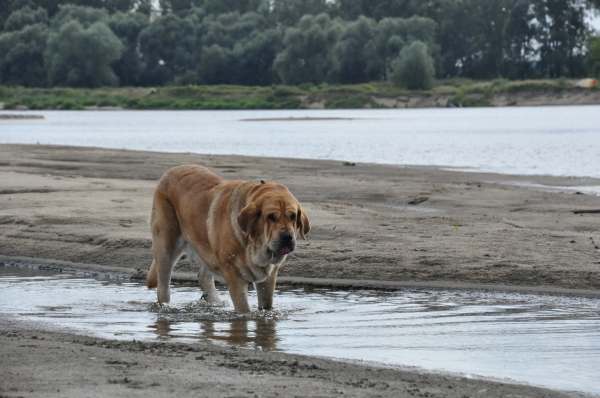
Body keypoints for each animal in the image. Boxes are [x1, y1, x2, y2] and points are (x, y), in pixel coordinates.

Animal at [147, 163, 312, 312]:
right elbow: (244, 310)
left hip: (208, 250)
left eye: (292, 216)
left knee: (203, 276)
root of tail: (171, 171)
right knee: (163, 287)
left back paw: (215, 301)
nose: (287, 237)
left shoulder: (268, 280)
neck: (253, 244)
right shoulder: (234, 277)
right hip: (166, 248)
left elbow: (266, 305)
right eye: (271, 217)